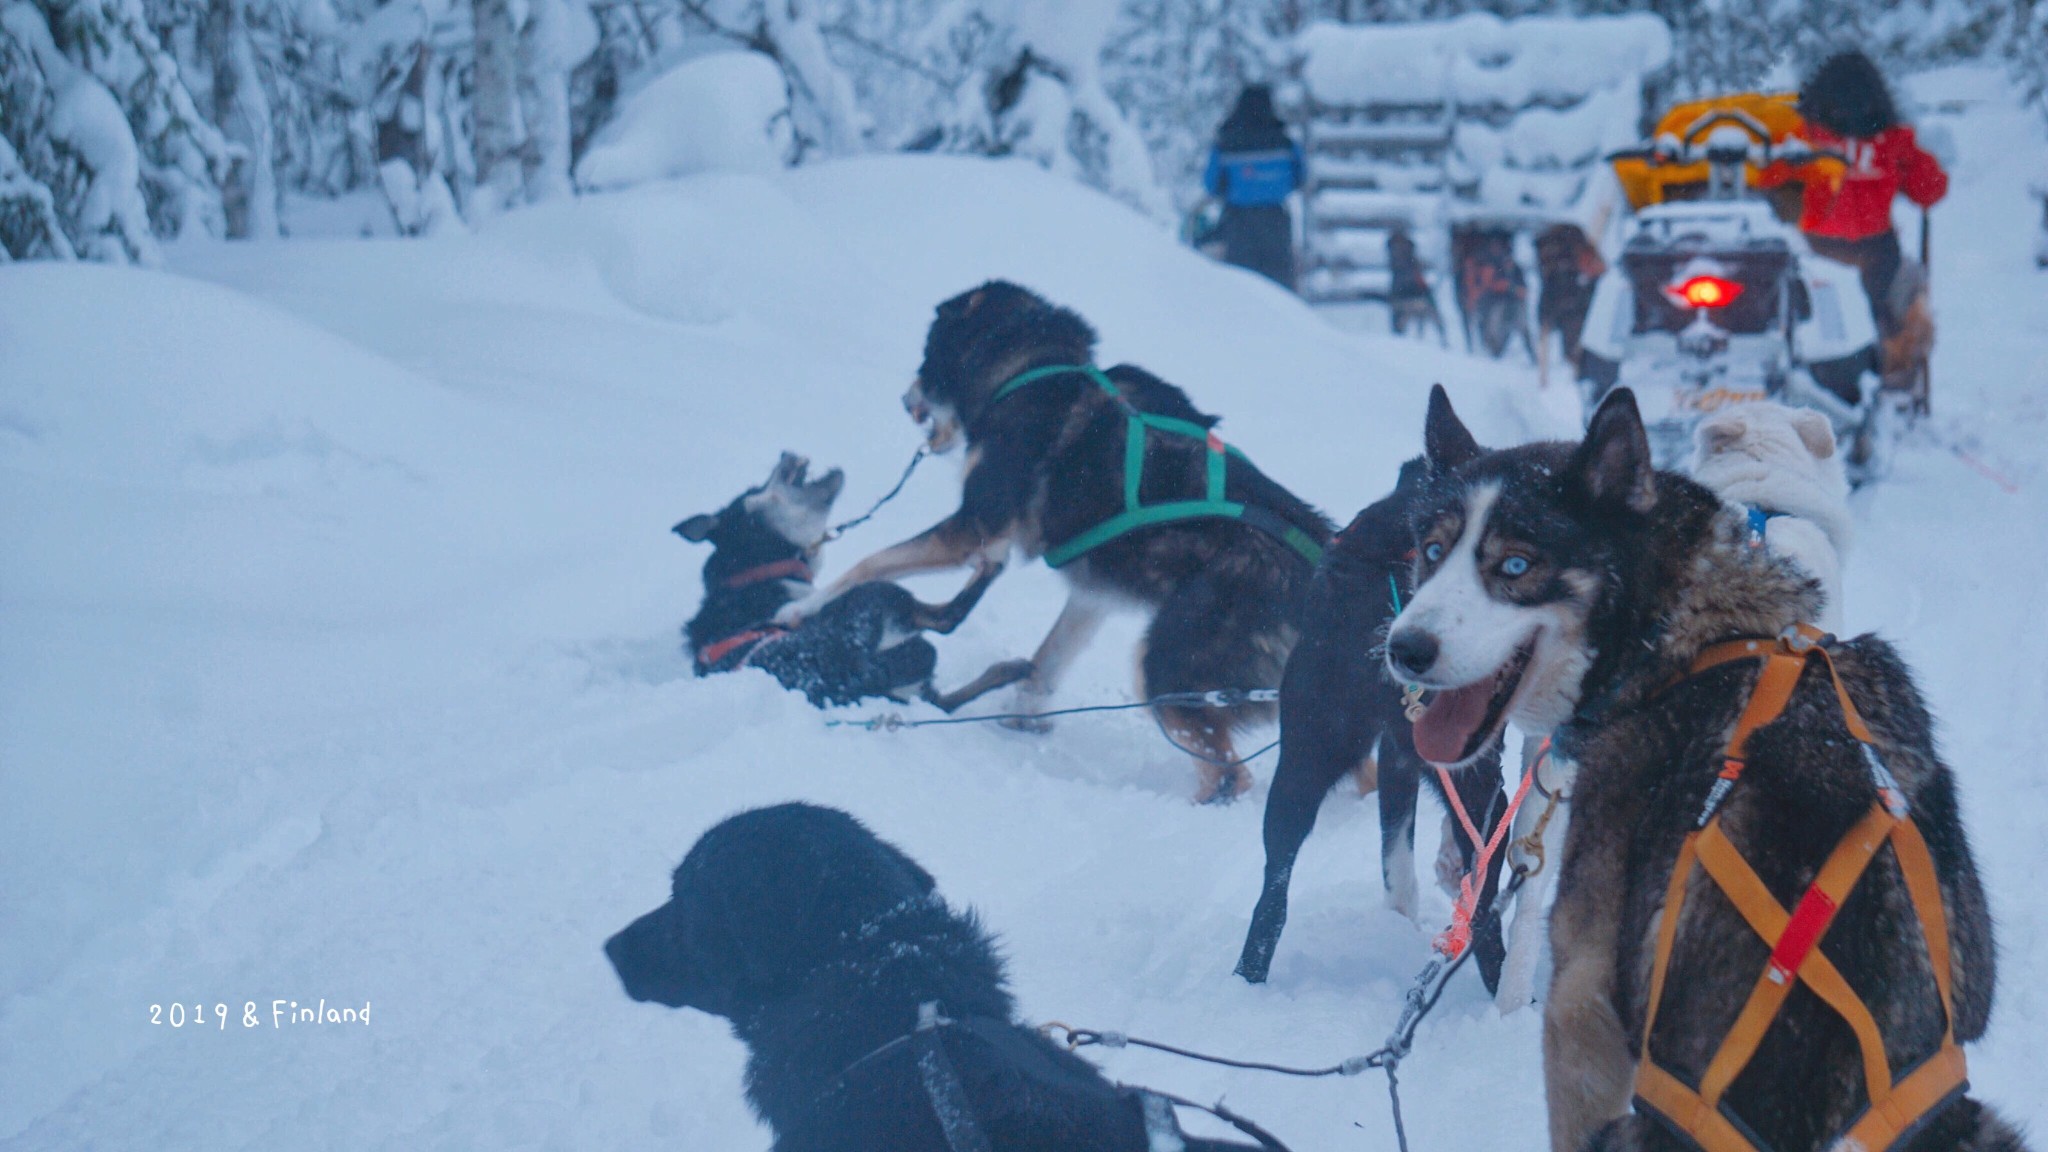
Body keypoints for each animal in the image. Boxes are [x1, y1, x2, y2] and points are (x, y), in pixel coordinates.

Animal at [675, 450, 1032, 709]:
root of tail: (847, 673)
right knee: (948, 618)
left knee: (948, 701)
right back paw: (993, 566)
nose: (784, 453)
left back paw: (1013, 668)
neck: (758, 570)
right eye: (753, 489)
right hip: (883, 599)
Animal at [774, 280, 1335, 799]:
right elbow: (1044, 665)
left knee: (1227, 776)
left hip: (1167, 676)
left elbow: (868, 562)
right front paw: (1020, 718)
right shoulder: (1092, 593)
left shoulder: (973, 527)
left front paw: (800, 609)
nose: (904, 397)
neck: (1034, 370)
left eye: (927, 352)